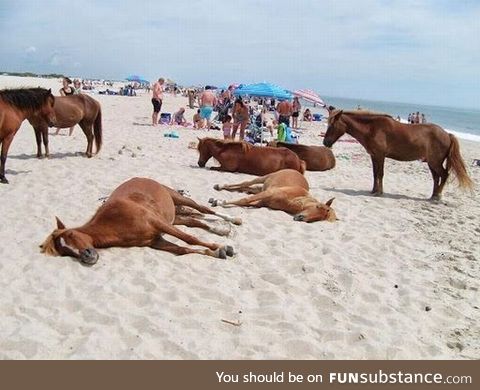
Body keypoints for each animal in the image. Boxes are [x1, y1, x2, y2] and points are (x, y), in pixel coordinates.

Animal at [41, 177, 242, 266]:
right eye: (65, 252)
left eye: (71, 234)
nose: (87, 256)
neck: (114, 222)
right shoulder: (155, 241)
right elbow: (182, 250)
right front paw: (216, 252)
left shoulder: (157, 223)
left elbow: (189, 239)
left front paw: (221, 247)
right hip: (174, 218)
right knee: (194, 220)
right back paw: (220, 230)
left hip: (178, 199)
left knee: (203, 210)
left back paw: (233, 220)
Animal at [210, 168, 338, 222]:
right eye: (318, 206)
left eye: (319, 218)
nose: (300, 218)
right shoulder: (268, 193)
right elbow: (244, 200)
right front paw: (220, 202)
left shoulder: (261, 202)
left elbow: (246, 202)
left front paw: (218, 201)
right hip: (263, 178)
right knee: (245, 183)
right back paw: (219, 186)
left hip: (260, 188)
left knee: (245, 188)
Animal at [322, 106, 472, 200]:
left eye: (332, 125)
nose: (325, 143)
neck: (372, 128)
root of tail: (447, 134)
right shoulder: (374, 156)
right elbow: (375, 174)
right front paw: (373, 190)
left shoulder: (380, 156)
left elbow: (380, 174)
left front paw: (379, 192)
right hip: (431, 162)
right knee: (436, 178)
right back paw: (433, 195)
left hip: (435, 162)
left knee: (444, 175)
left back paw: (438, 196)